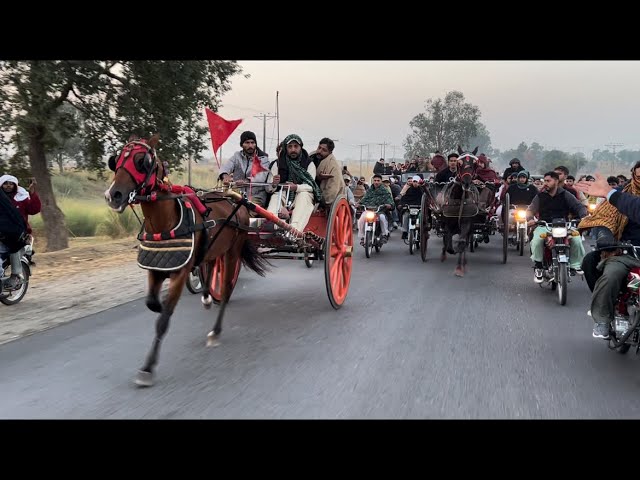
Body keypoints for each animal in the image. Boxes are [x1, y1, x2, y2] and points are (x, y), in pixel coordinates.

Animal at [104, 134, 268, 386]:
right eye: (116, 160)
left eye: (142, 161)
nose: (114, 195)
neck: (166, 221)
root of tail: (236, 199)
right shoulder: (155, 268)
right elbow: (152, 303)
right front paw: (161, 305)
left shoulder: (180, 273)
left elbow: (163, 320)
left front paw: (148, 368)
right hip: (214, 249)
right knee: (210, 266)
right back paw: (207, 296)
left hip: (233, 250)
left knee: (226, 289)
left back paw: (215, 330)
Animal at [438, 144, 478, 276]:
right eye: (459, 163)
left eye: (475, 163)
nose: (466, 183)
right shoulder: (448, 222)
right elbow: (448, 240)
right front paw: (447, 252)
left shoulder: (466, 223)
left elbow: (462, 243)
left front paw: (459, 268)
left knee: (465, 241)